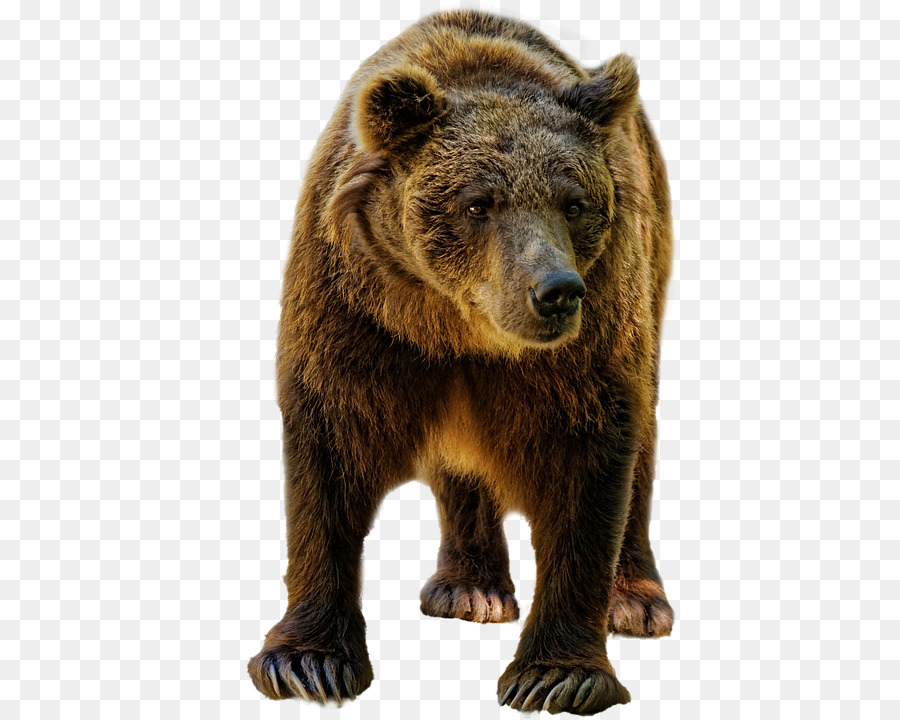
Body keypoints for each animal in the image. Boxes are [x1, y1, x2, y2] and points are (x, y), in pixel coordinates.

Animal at [248, 9, 674, 715]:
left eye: (574, 202)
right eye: (479, 203)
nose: (556, 290)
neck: (458, 328)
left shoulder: (590, 337)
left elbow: (590, 455)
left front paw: (557, 673)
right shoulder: (355, 311)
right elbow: (329, 448)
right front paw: (307, 661)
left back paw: (637, 600)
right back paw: (469, 588)